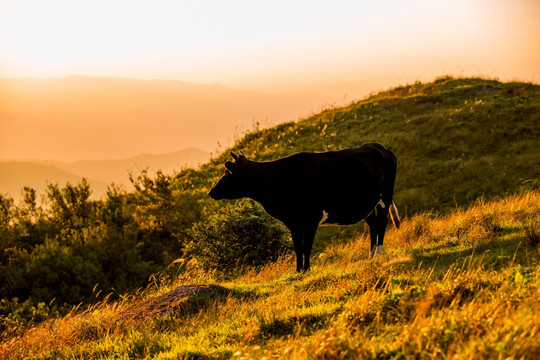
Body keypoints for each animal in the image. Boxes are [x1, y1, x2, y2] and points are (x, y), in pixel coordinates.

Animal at [210, 142, 400, 272]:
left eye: (228, 173)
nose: (212, 191)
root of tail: (378, 146)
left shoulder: (311, 219)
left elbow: (306, 246)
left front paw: (306, 269)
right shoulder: (294, 222)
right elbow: (298, 248)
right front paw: (298, 270)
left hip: (385, 197)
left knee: (382, 224)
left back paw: (379, 254)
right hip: (369, 204)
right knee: (373, 225)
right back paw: (370, 256)